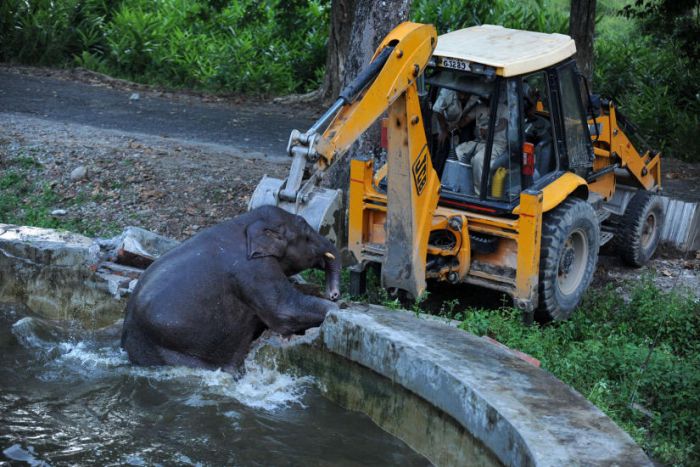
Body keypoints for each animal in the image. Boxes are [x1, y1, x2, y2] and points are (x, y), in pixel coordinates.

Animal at [122, 207, 342, 372]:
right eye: (305, 229)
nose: (334, 294)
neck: (245, 221)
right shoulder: (253, 270)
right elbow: (284, 311)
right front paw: (335, 310)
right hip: (172, 350)